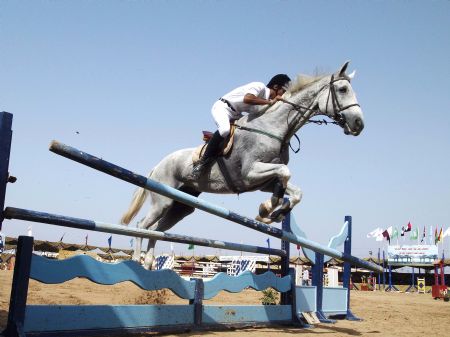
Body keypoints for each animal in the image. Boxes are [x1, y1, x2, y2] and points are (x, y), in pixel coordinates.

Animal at [120, 61, 366, 268]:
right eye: (342, 90)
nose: (359, 124)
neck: (275, 128)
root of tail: (157, 165)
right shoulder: (250, 173)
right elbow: (285, 172)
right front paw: (268, 209)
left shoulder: (262, 182)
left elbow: (293, 189)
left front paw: (273, 212)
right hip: (162, 199)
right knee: (142, 225)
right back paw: (136, 260)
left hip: (180, 206)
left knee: (156, 229)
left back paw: (149, 262)